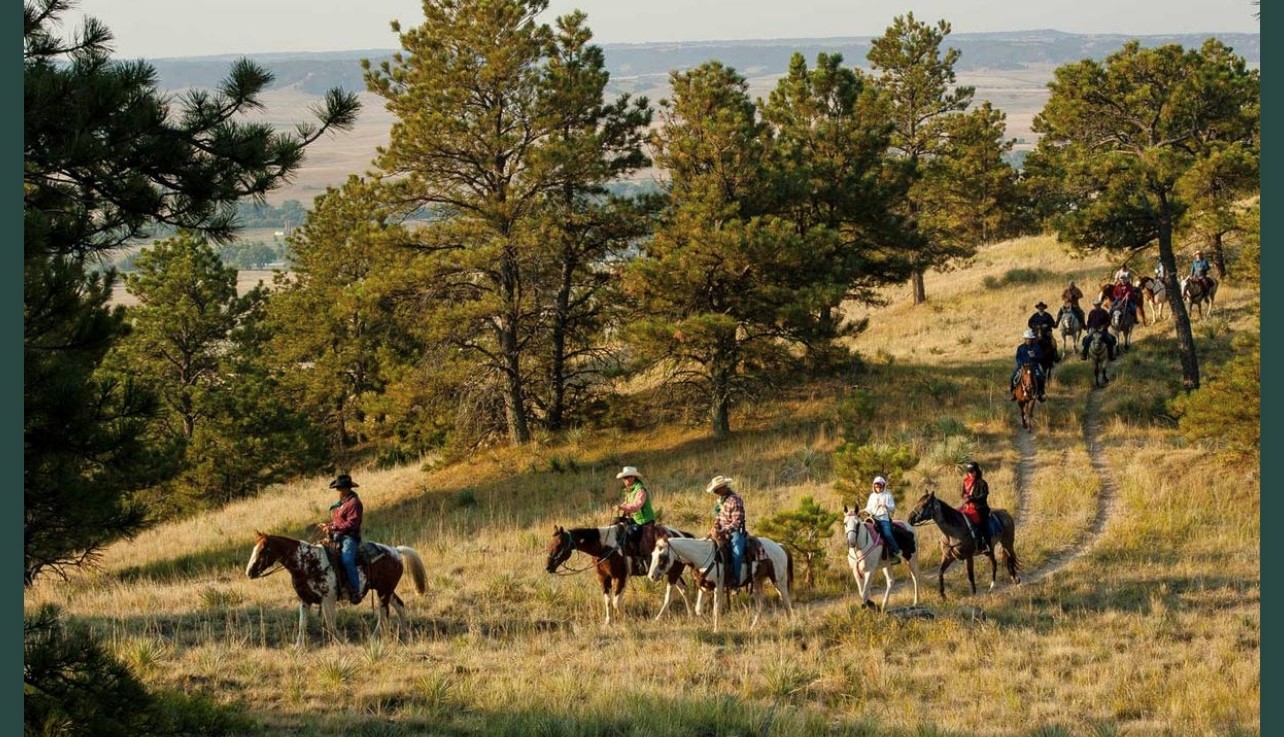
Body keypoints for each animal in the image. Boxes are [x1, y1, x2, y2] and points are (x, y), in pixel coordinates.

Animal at [245, 531, 431, 647]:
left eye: (262, 551)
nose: (249, 572)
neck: (308, 562)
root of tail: (396, 551)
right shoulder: (305, 600)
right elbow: (302, 624)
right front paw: (298, 647)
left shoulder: (328, 599)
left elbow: (330, 624)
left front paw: (342, 641)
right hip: (387, 590)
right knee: (399, 606)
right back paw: (405, 634)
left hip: (383, 592)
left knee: (383, 614)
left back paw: (375, 637)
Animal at [546, 523, 698, 626]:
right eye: (549, 544)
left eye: (559, 545)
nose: (548, 567)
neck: (604, 546)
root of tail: (683, 535)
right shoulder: (603, 578)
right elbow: (608, 600)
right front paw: (608, 622)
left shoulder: (622, 577)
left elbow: (616, 601)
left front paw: (626, 620)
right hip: (672, 572)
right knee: (684, 589)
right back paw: (691, 615)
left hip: (673, 573)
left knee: (669, 596)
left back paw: (659, 618)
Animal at [642, 531, 790, 629]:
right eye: (653, 554)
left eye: (662, 556)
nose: (651, 576)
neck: (702, 556)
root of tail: (779, 546)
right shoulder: (704, 587)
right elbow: (698, 609)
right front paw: (706, 622)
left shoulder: (718, 587)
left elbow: (716, 610)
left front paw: (715, 630)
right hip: (758, 582)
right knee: (761, 606)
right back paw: (752, 628)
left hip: (779, 581)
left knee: (786, 602)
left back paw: (791, 623)